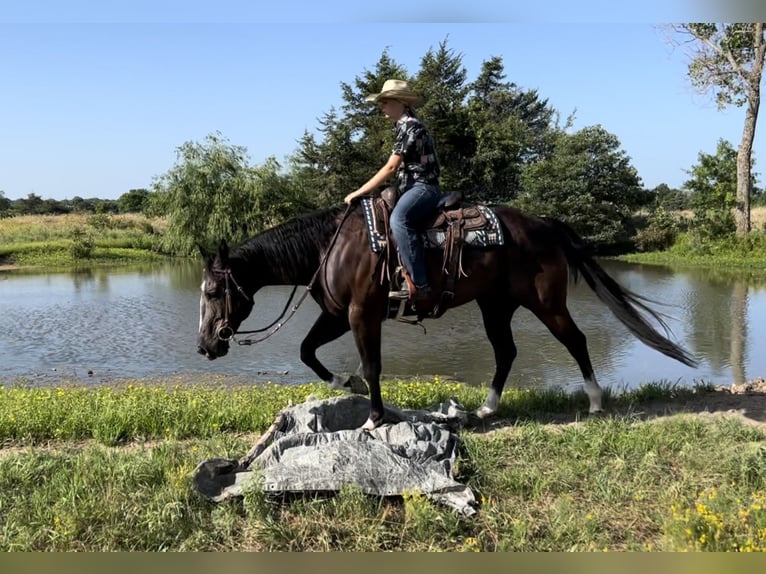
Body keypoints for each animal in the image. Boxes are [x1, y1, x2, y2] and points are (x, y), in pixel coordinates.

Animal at [196, 201, 696, 428]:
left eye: (214, 290)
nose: (205, 345)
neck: (328, 248)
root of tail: (546, 224)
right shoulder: (337, 315)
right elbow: (306, 351)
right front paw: (345, 383)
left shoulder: (362, 313)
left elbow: (373, 365)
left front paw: (374, 417)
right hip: (495, 306)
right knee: (506, 352)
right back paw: (487, 408)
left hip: (545, 303)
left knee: (575, 340)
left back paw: (594, 402)